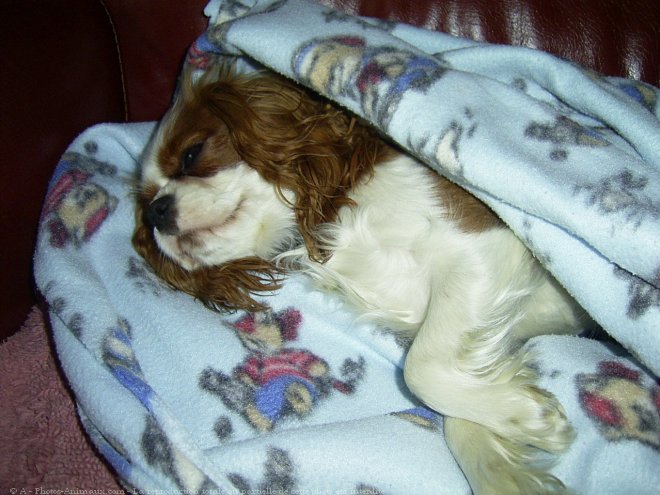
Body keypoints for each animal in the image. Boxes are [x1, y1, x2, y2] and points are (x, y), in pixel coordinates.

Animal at [131, 64, 592, 494]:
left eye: (191, 155)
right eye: (146, 203)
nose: (157, 211)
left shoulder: (484, 244)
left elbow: (419, 370)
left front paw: (534, 418)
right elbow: (455, 403)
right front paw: (505, 464)